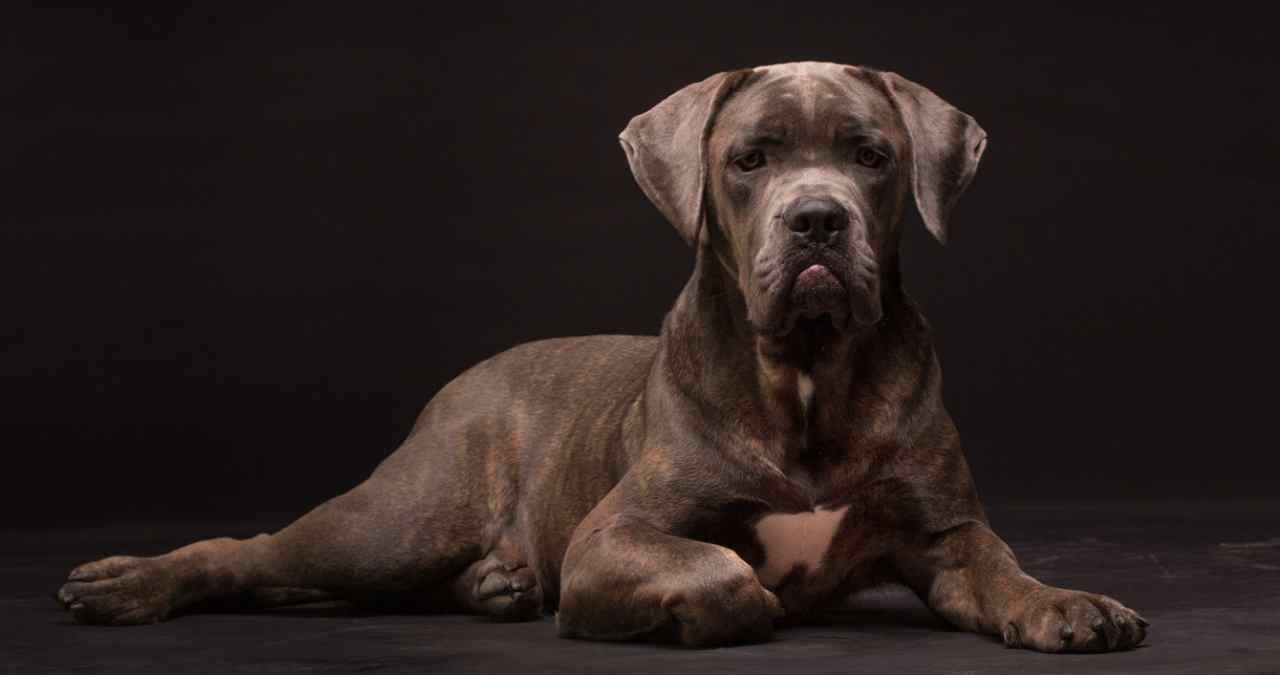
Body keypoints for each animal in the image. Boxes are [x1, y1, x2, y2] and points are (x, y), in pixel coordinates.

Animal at [55, 62, 1152, 655]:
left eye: (871, 156)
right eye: (749, 159)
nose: (815, 220)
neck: (804, 373)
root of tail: (464, 380)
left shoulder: (947, 537)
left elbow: (1004, 572)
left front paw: (1068, 604)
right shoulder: (618, 536)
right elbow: (719, 569)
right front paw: (718, 607)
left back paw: (494, 586)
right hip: (392, 520)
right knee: (254, 552)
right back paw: (125, 584)